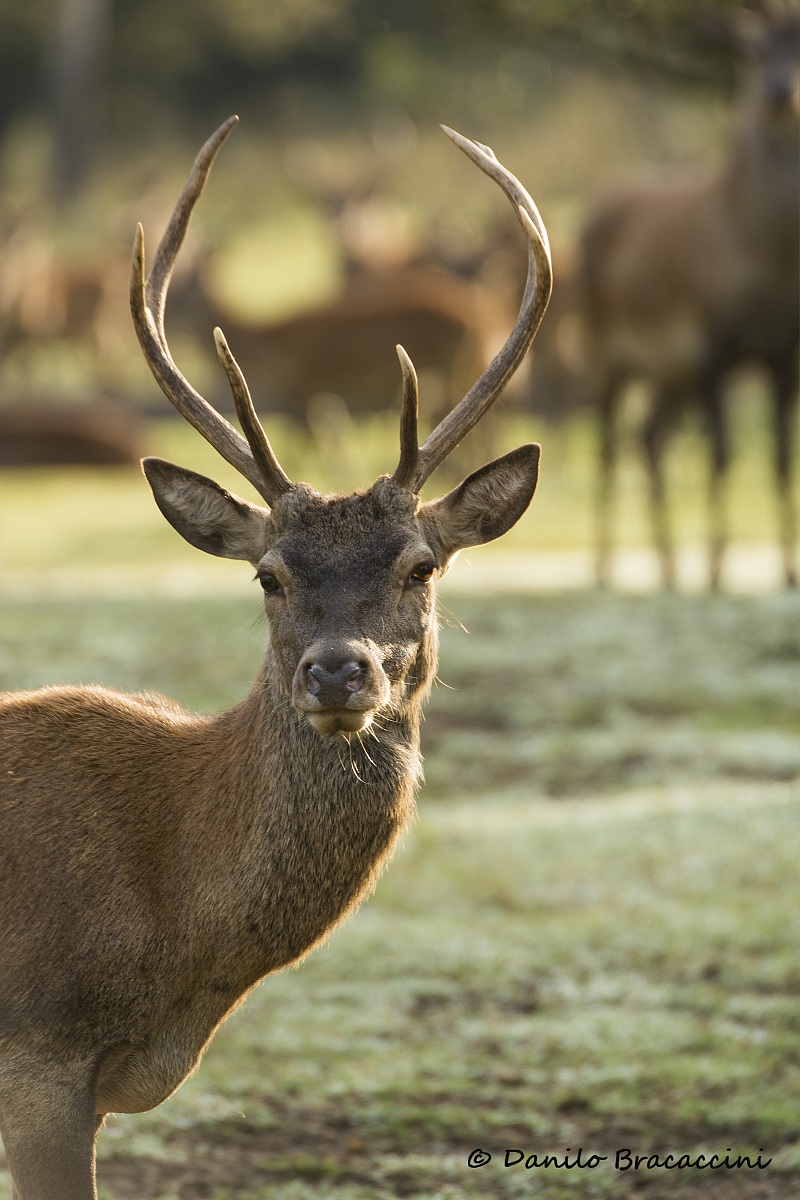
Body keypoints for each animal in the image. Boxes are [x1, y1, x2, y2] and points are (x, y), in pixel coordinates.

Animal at [581, 3, 799, 588]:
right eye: (753, 50)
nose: (780, 92)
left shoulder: (784, 351)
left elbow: (780, 458)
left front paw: (787, 570)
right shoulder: (711, 337)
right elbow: (722, 452)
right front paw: (718, 569)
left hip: (670, 376)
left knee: (650, 436)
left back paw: (669, 567)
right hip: (602, 344)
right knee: (609, 446)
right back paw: (606, 566)